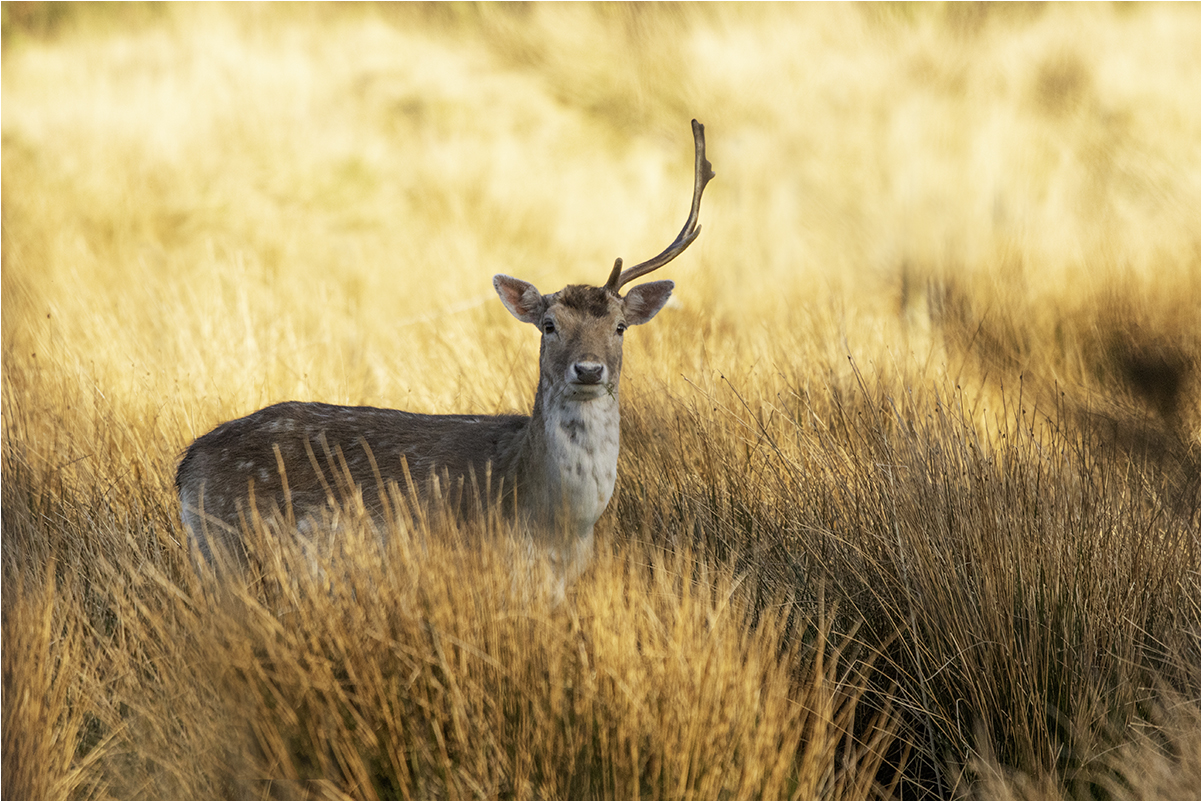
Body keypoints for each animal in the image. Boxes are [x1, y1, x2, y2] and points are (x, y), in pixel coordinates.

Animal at [176, 120, 714, 591]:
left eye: (619, 327)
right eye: (549, 325)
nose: (587, 368)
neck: (553, 524)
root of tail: (185, 467)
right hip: (227, 552)